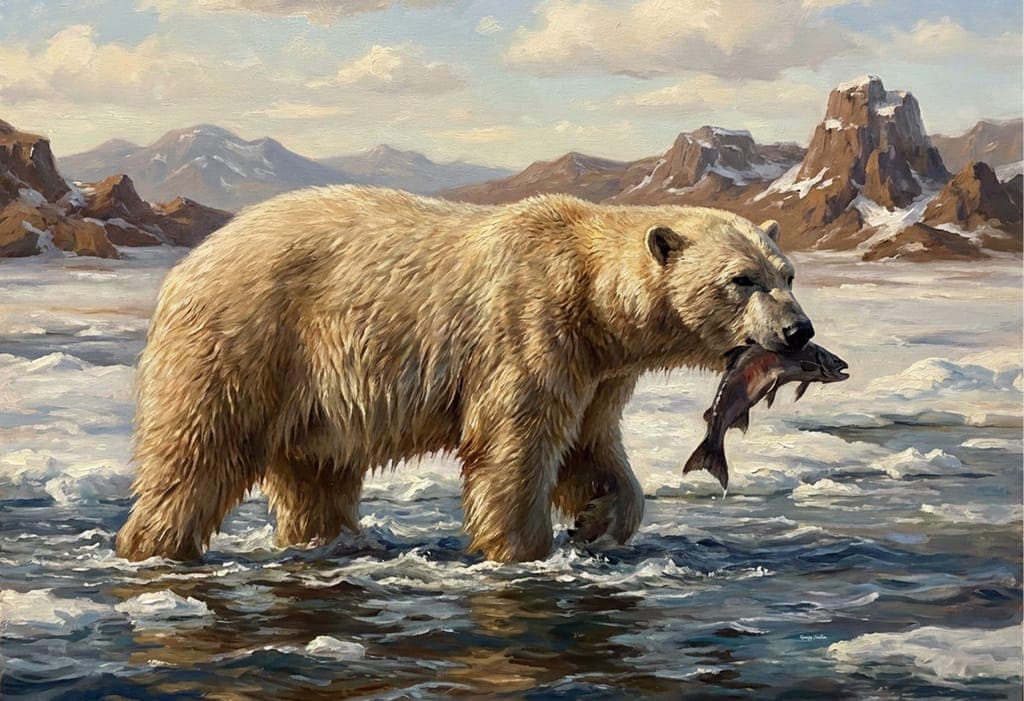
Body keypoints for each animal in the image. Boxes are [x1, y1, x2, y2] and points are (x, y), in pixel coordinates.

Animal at [115, 186, 813, 564]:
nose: (798, 332)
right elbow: (514, 445)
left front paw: (597, 521)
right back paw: (153, 547)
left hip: (315, 394)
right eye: (741, 280)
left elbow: (591, 445)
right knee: (197, 454)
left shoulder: (597, 369)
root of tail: (188, 263)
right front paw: (523, 550)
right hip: (245, 341)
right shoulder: (529, 327)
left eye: (786, 273)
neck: (589, 289)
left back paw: (336, 544)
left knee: (317, 475)